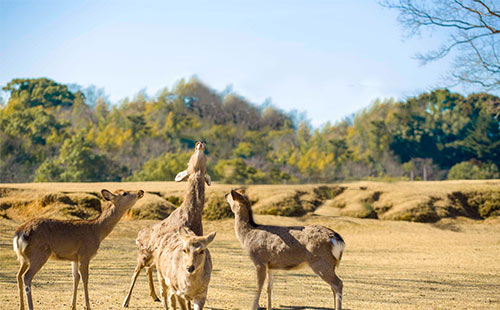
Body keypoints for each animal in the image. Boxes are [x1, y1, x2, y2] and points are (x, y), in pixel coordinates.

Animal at [12, 189, 145, 310]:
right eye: (124, 193)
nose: (141, 191)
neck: (97, 232)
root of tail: (20, 234)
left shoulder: (74, 258)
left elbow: (75, 278)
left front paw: (73, 305)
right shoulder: (85, 254)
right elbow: (85, 279)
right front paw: (88, 306)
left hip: (23, 258)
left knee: (18, 275)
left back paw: (21, 307)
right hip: (39, 254)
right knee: (26, 276)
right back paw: (30, 307)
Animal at [125, 142, 211, 308]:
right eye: (189, 160)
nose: (199, 143)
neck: (191, 218)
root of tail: (138, 235)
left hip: (154, 258)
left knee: (149, 270)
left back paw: (155, 296)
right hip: (144, 253)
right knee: (136, 271)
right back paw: (126, 301)